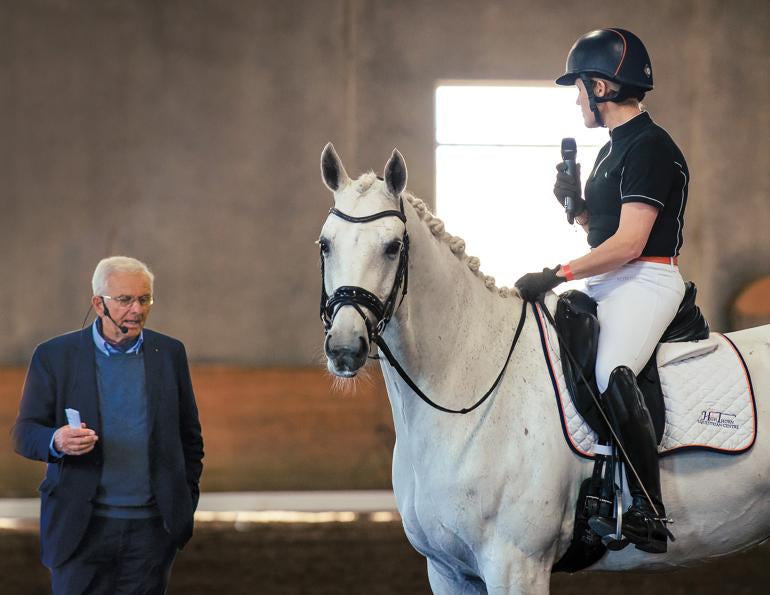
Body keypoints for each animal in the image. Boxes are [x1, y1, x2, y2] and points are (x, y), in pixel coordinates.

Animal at [316, 142, 764, 592]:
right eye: (325, 244)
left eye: (392, 247)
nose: (344, 347)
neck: (468, 380)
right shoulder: (447, 570)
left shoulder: (515, 565)